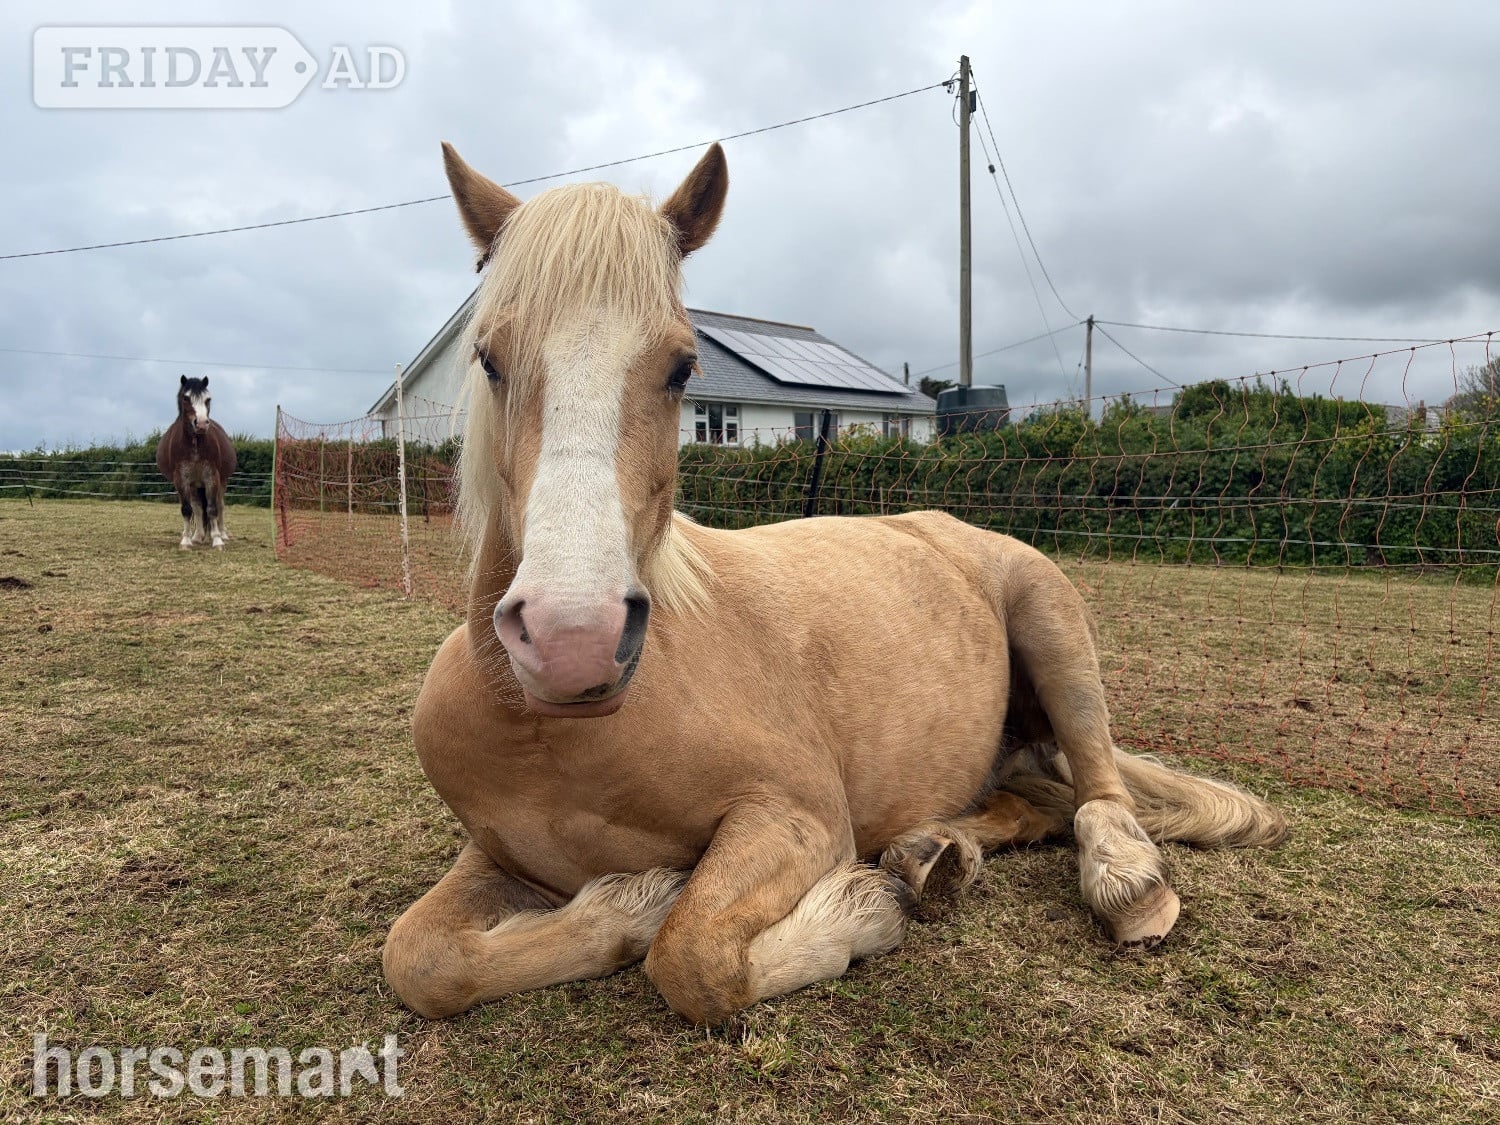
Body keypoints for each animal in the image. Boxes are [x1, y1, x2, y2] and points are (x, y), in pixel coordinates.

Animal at [156, 375, 236, 550]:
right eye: (186, 398)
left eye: (208, 399)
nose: (201, 424)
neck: (194, 445)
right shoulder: (182, 480)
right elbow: (188, 510)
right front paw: (186, 541)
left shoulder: (212, 477)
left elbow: (213, 509)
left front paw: (217, 540)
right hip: (194, 485)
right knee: (198, 508)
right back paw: (197, 536)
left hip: (221, 482)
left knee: (220, 506)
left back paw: (223, 534)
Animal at [381, 142, 1289, 1026]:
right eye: (488, 358)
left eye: (683, 368)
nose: (575, 641)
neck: (560, 739)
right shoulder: (497, 857)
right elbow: (420, 959)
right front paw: (627, 906)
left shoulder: (799, 816)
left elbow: (693, 955)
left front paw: (851, 914)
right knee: (1036, 805)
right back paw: (934, 856)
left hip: (1054, 626)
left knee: (1099, 791)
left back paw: (1122, 884)